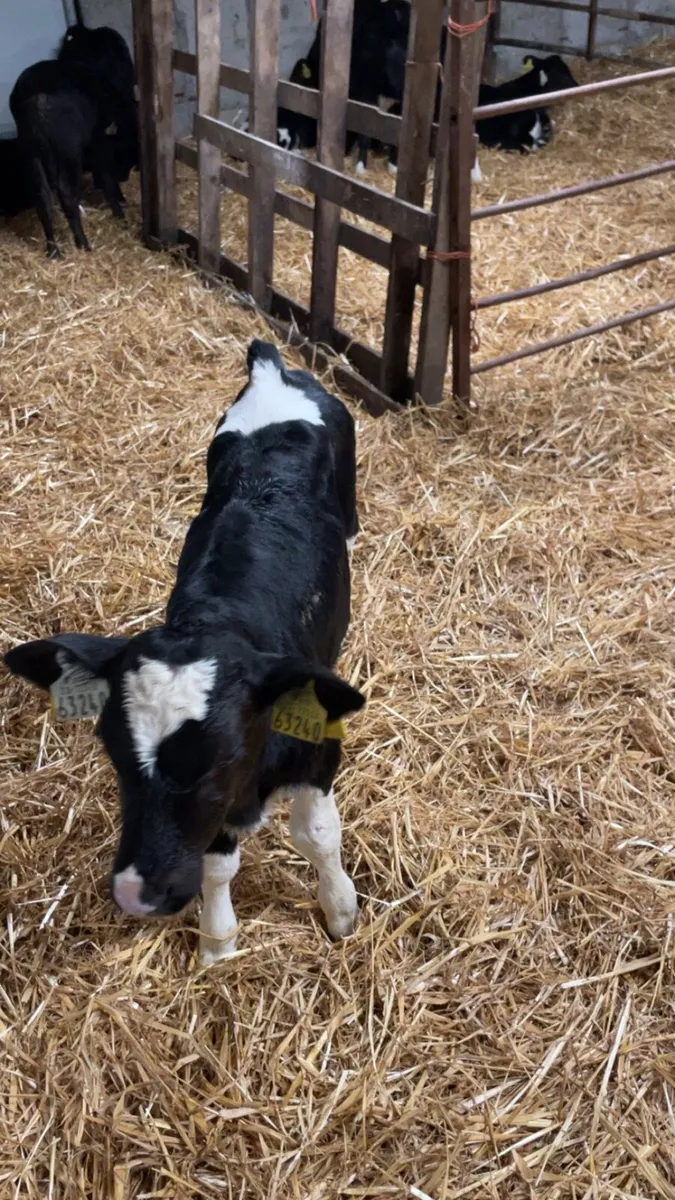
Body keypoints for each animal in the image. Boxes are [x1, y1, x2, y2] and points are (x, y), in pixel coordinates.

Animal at [4, 340, 365, 967]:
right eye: (114, 754)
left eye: (220, 756)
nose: (137, 894)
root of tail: (273, 368)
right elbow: (218, 865)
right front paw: (219, 942)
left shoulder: (319, 747)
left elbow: (318, 838)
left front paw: (339, 909)